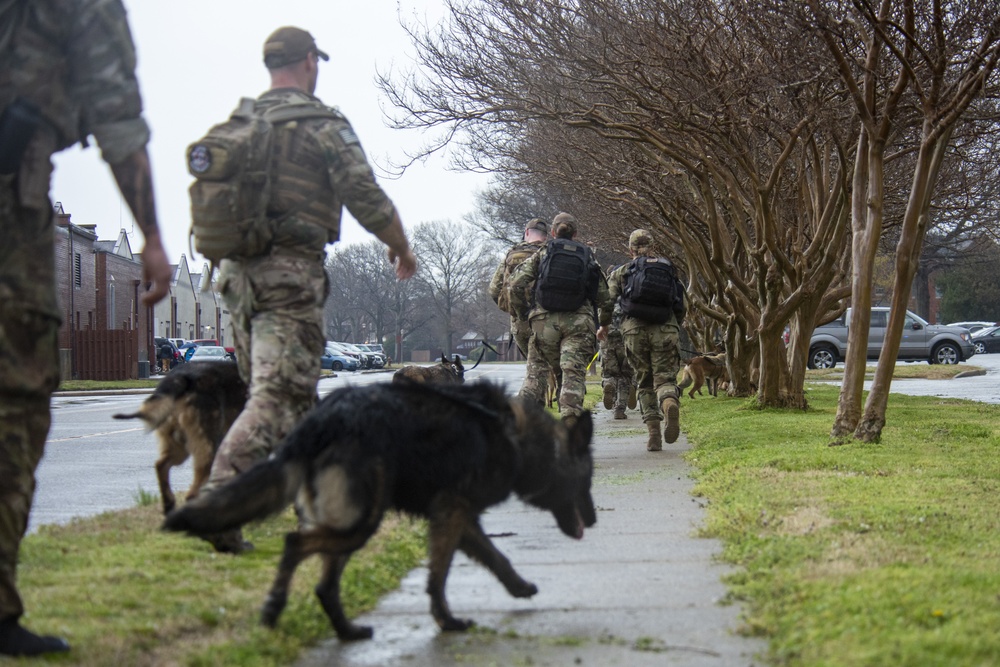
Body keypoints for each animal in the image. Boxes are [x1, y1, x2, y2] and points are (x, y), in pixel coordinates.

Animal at [112, 362, 245, 516]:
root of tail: (179, 378)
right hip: (208, 443)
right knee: (192, 492)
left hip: (179, 445)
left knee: (161, 465)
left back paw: (169, 504)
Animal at [162, 380, 592, 636]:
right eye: (585, 482)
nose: (592, 519)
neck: (516, 435)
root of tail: (319, 423)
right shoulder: (452, 513)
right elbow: (439, 575)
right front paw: (447, 621)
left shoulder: (459, 517)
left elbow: (494, 557)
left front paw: (518, 587)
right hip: (360, 521)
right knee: (294, 544)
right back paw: (274, 608)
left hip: (351, 519)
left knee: (324, 583)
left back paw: (345, 630)